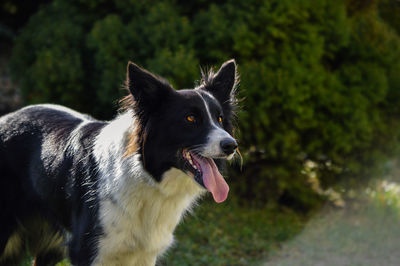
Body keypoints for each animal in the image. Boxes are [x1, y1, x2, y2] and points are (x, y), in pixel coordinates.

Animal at [0, 60, 238, 266]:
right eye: (190, 118)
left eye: (219, 119)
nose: (232, 145)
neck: (144, 176)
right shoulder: (87, 251)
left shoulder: (144, 255)